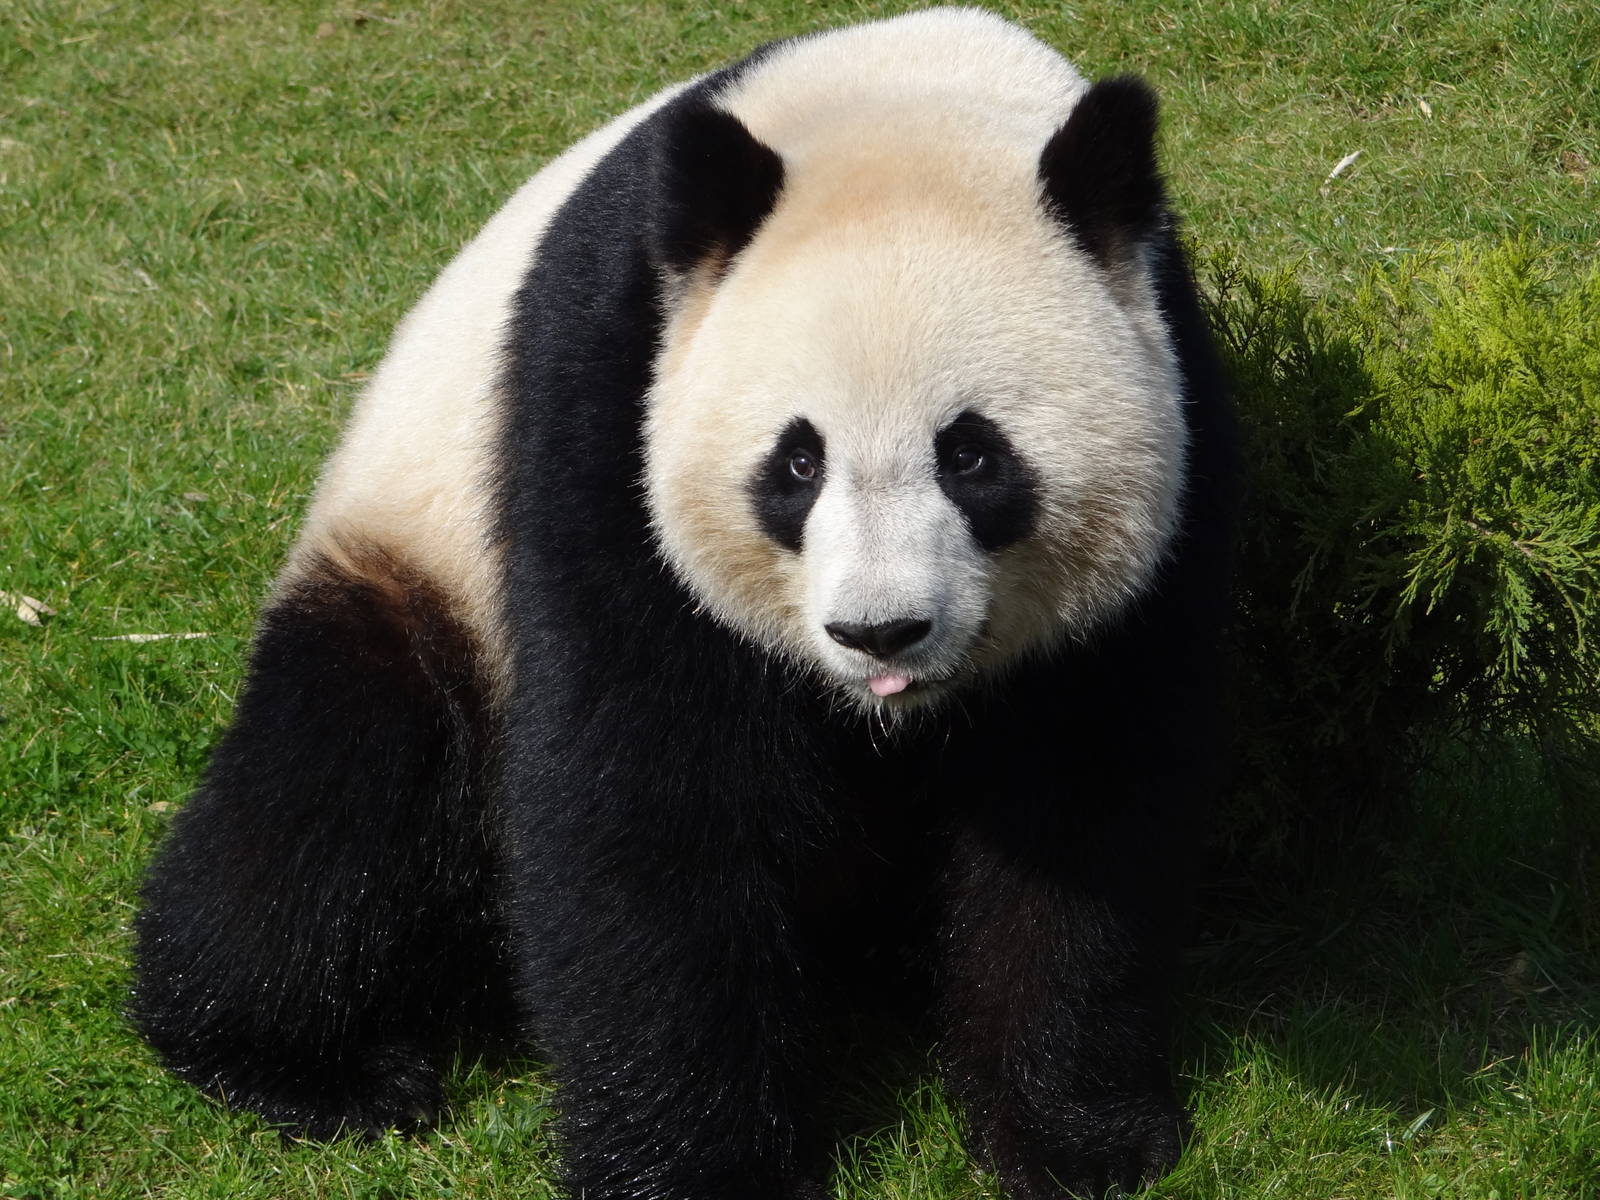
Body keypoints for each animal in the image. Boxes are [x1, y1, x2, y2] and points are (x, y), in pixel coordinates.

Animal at [131, 9, 1237, 1199]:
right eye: (796, 463)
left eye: (973, 456)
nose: (879, 631)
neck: (910, 106)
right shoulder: (614, 406)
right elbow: (650, 796)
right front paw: (695, 1167)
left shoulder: (1174, 449)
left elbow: (1080, 805)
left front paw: (1071, 1139)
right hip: (418, 558)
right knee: (331, 795)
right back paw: (304, 1066)